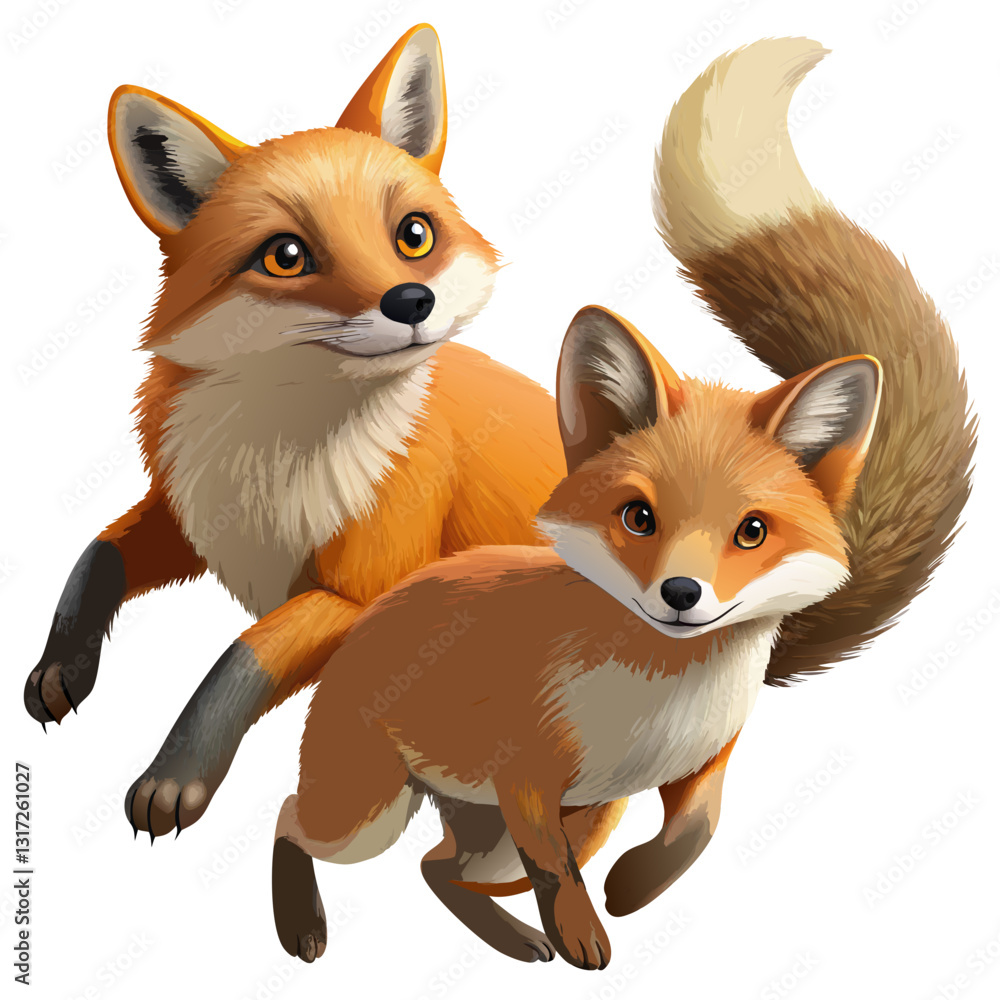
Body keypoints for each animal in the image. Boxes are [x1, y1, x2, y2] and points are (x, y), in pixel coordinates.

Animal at [21, 24, 624, 842]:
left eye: (413, 235)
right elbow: (96, 557)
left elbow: (239, 656)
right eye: (286, 255)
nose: (412, 300)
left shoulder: (363, 592)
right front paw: (62, 663)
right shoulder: (197, 519)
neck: (275, 455)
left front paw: (176, 774)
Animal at [268, 38, 975, 971]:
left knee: (437, 868)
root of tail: (376, 612)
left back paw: (508, 939)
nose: (681, 595)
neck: (653, 708)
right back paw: (302, 923)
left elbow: (697, 831)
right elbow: (558, 870)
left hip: (553, 823)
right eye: (640, 518)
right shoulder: (528, 779)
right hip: (367, 816)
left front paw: (633, 892)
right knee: (294, 823)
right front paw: (583, 930)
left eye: (752, 531)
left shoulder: (700, 762)